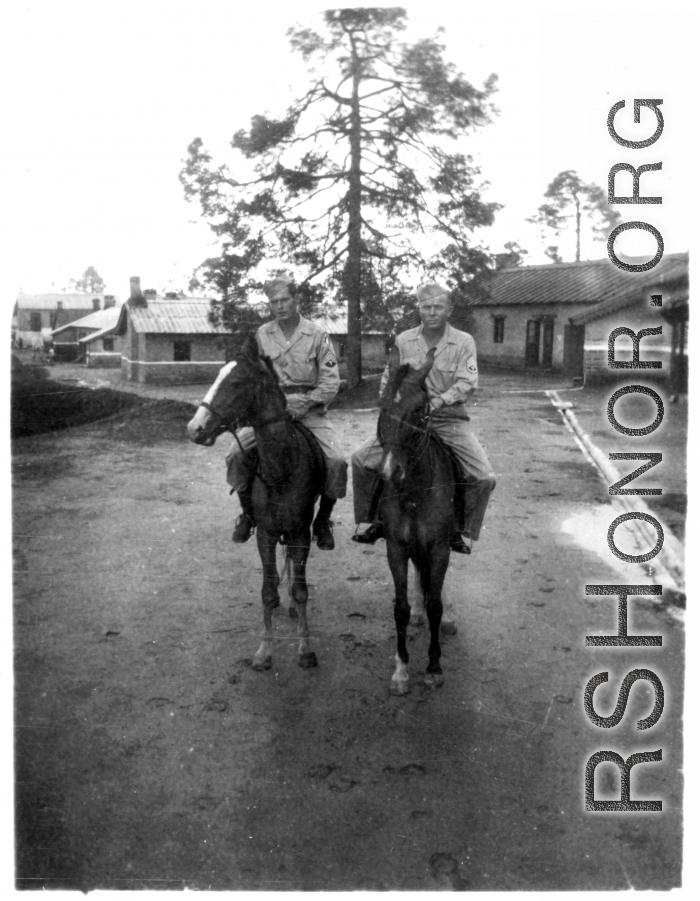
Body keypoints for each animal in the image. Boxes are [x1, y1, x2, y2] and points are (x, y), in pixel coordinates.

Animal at [185, 338, 324, 668]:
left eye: (236, 383)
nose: (195, 428)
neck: (281, 468)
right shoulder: (266, 534)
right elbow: (268, 592)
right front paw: (264, 651)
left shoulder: (300, 533)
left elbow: (301, 590)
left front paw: (305, 648)